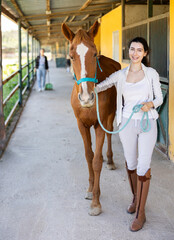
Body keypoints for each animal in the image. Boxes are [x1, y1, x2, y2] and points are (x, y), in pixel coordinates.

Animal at [61, 21, 121, 216]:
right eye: (71, 56)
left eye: (94, 54)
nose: (86, 98)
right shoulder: (82, 125)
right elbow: (89, 156)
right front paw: (90, 189)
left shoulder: (99, 125)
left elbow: (96, 161)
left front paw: (96, 202)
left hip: (110, 115)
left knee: (109, 135)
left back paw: (110, 160)